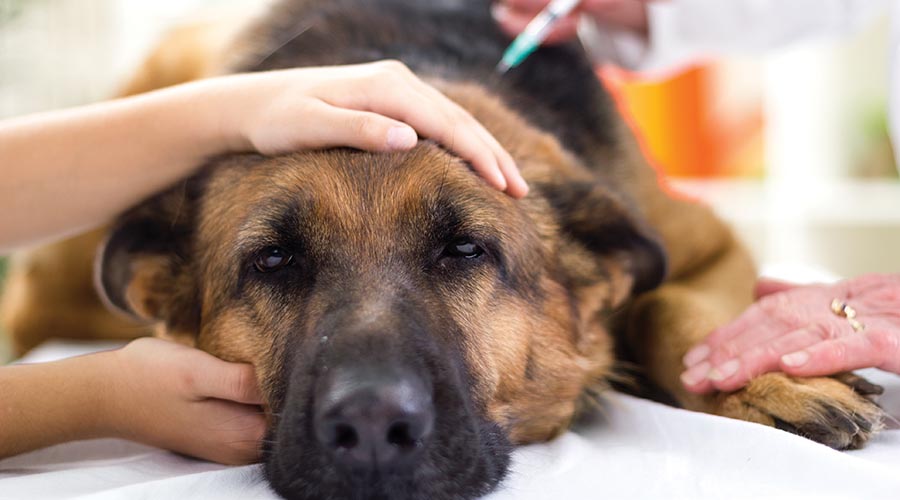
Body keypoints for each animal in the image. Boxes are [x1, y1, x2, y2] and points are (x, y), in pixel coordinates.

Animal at [0, 0, 884, 500]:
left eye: (464, 249)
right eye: (274, 261)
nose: (369, 428)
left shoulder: (707, 248)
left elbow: (669, 307)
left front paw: (765, 379)